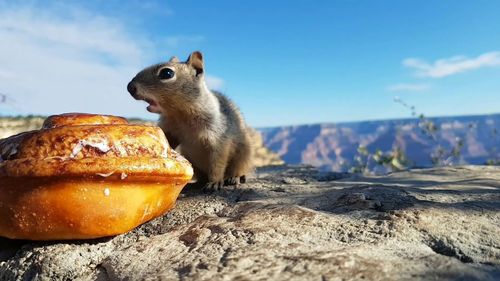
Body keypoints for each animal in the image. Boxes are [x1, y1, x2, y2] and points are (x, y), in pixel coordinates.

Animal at [127, 50, 252, 190]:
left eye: (167, 73)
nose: (130, 87)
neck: (181, 114)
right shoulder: (170, 129)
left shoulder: (219, 137)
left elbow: (218, 162)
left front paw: (214, 182)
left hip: (243, 155)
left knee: (238, 169)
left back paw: (234, 178)